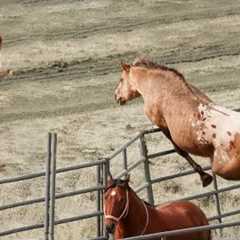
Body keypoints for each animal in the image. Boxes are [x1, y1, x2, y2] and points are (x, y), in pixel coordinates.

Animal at [114, 57, 240, 187]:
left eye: (121, 79)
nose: (116, 96)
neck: (157, 86)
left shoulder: (162, 124)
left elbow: (179, 150)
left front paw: (204, 177)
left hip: (221, 170)